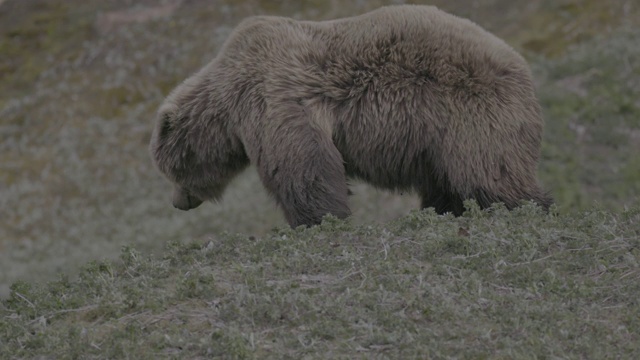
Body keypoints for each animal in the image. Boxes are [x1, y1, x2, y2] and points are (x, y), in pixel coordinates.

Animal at [149, 4, 552, 226]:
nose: (178, 202)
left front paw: (319, 220)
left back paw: (530, 207)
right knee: (448, 184)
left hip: (470, 112)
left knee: (491, 175)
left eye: (170, 171)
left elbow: (301, 167)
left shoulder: (274, 93)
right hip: (436, 141)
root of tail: (525, 72)